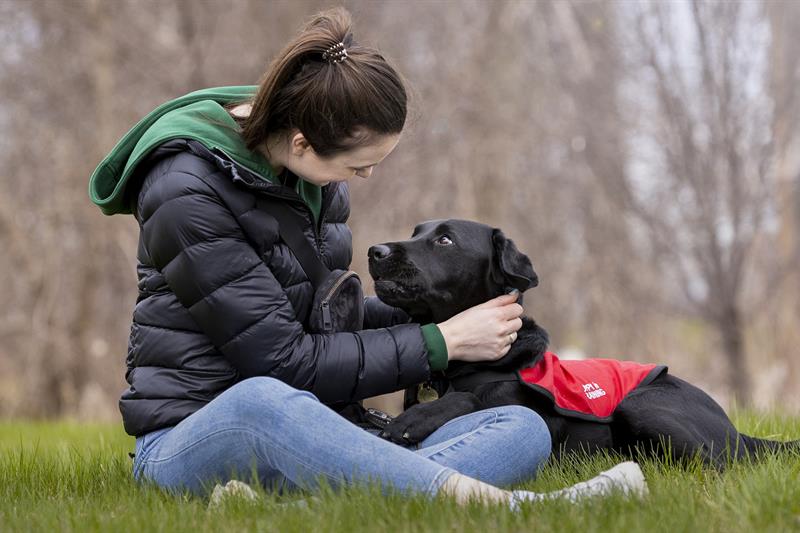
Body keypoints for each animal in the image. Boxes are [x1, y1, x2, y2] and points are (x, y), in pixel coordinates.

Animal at [370, 218, 800, 468]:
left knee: (720, 465)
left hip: (639, 405)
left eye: (444, 240)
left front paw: (414, 420)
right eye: (415, 233)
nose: (376, 250)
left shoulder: (540, 420)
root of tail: (736, 430)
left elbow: (470, 398)